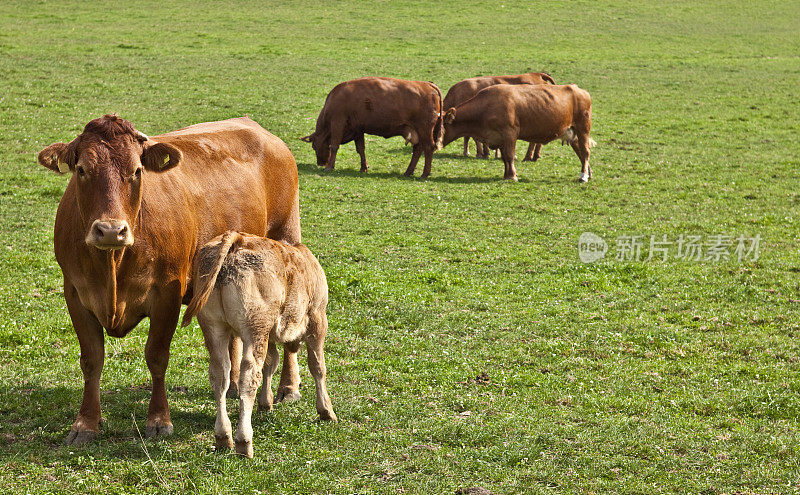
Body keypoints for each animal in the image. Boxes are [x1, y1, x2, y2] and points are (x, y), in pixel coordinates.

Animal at [35, 115, 304, 446]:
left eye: (137, 171)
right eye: (82, 170)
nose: (111, 231)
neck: (113, 264)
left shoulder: (167, 293)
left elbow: (157, 356)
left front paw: (159, 420)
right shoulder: (75, 293)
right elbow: (92, 359)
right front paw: (86, 423)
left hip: (287, 236)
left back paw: (288, 387)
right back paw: (231, 385)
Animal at [181, 231, 334, 460]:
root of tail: (237, 239)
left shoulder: (269, 334)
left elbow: (271, 363)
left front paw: (266, 402)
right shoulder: (317, 318)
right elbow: (318, 366)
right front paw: (326, 411)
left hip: (214, 327)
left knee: (220, 376)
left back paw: (223, 436)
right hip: (255, 328)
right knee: (249, 376)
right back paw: (244, 440)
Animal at [300, 77, 444, 178]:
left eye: (314, 146)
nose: (320, 163)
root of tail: (427, 84)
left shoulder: (337, 122)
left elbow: (334, 146)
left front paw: (330, 167)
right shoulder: (357, 129)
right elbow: (361, 149)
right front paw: (364, 168)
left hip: (424, 129)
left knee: (428, 147)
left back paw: (424, 174)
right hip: (417, 131)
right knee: (418, 149)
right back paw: (408, 172)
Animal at [440, 84, 596, 183]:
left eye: (438, 125)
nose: (434, 144)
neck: (486, 107)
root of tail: (579, 90)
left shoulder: (510, 134)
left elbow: (509, 156)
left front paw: (512, 176)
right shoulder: (499, 138)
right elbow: (504, 157)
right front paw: (506, 175)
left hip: (583, 129)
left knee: (585, 151)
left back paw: (583, 176)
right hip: (573, 133)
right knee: (581, 153)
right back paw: (588, 173)